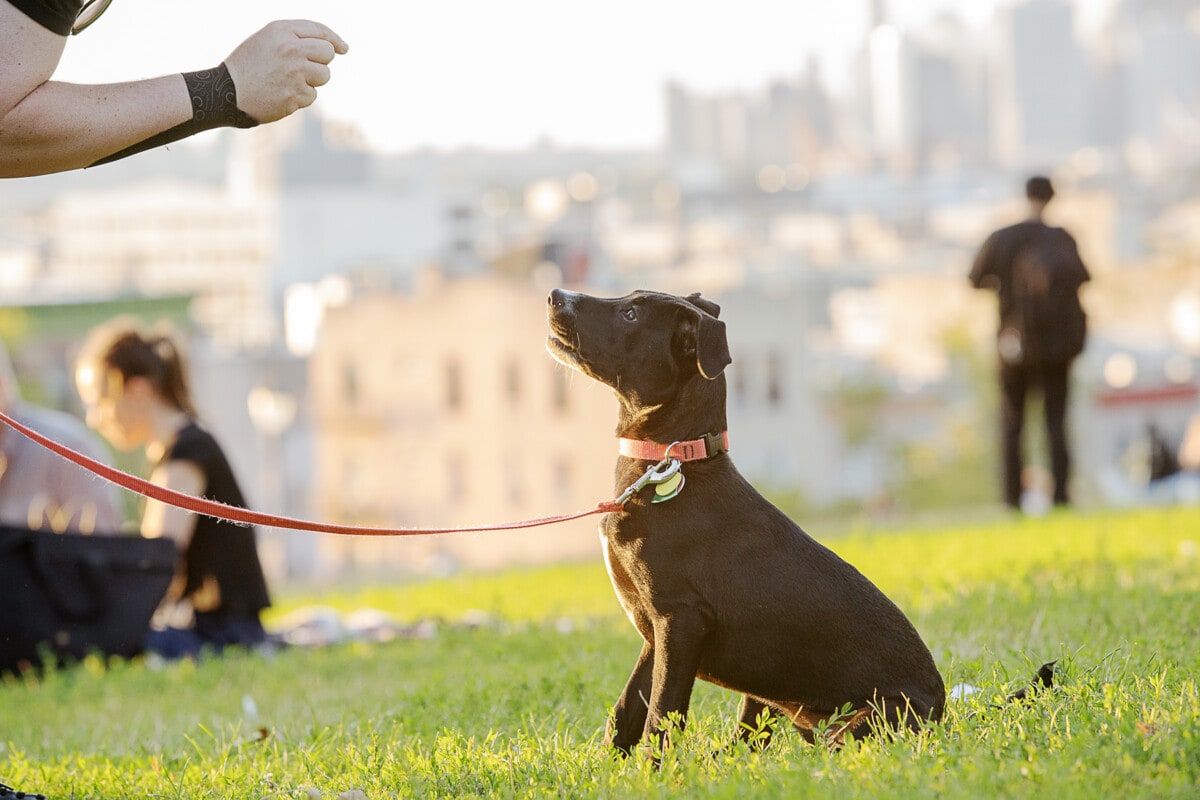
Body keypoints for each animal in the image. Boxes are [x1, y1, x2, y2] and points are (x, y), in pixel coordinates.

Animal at [544, 291, 945, 753]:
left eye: (630, 314)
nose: (556, 296)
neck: (671, 462)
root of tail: (943, 709)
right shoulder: (654, 628)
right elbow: (627, 710)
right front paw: (612, 764)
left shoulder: (681, 621)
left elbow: (661, 714)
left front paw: (652, 767)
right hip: (768, 696)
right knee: (751, 740)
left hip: (862, 722)